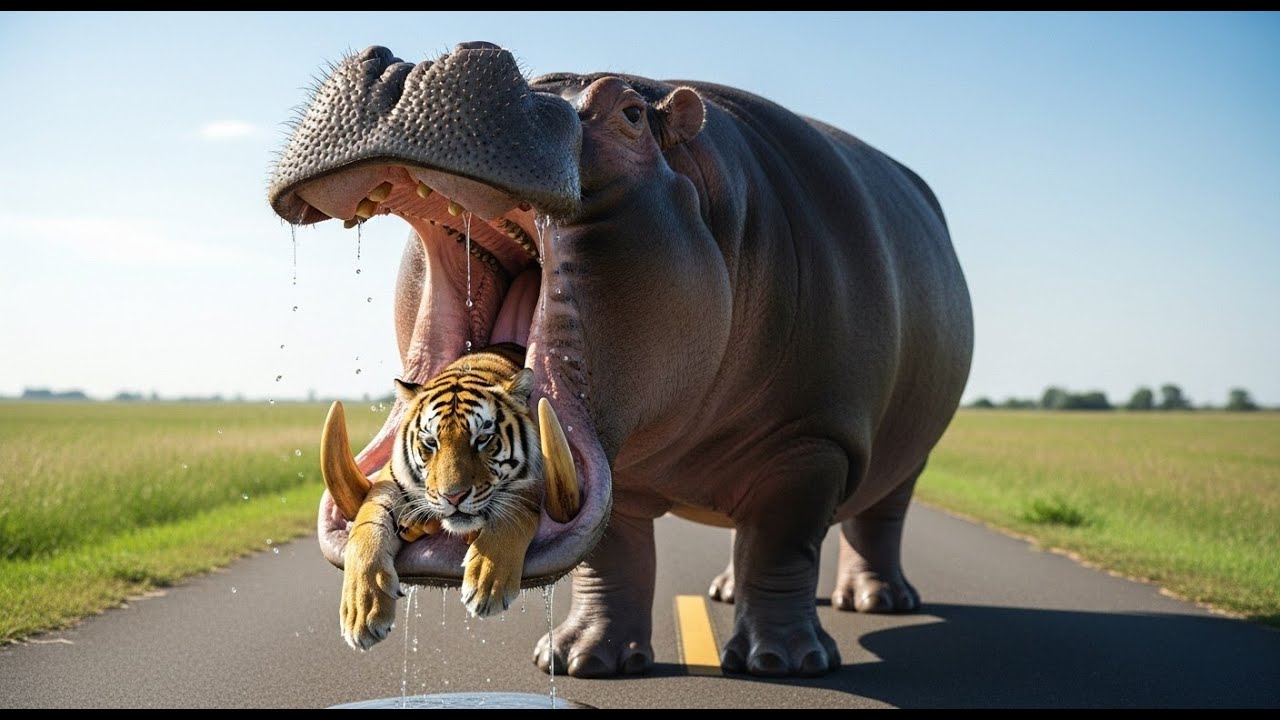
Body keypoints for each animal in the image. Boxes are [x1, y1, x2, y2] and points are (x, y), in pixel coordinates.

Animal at [340, 341, 543, 650]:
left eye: (483, 439)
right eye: (430, 442)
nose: (454, 497)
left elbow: (511, 515)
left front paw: (487, 582)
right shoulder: (389, 484)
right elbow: (365, 533)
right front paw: (361, 612)